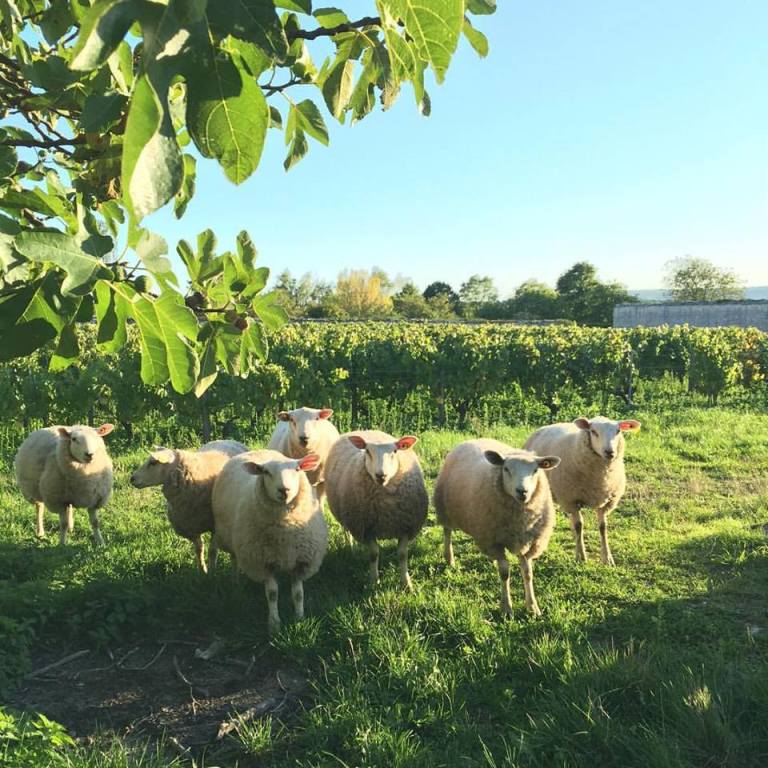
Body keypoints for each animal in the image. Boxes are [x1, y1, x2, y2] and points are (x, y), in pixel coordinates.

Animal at [129, 439, 248, 573]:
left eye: (153, 463)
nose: (132, 479)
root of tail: (226, 439)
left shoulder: (215, 526)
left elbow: (212, 551)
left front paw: (212, 571)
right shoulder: (190, 526)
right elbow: (199, 549)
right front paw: (202, 570)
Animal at [211, 450, 328, 635]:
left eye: (297, 469)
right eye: (266, 472)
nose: (284, 490)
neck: (286, 529)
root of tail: (256, 450)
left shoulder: (300, 561)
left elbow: (298, 593)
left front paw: (299, 618)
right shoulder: (263, 563)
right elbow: (272, 594)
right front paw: (274, 624)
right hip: (230, 538)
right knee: (234, 559)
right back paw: (235, 582)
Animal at [324, 430, 428, 590]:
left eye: (395, 451)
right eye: (367, 451)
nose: (381, 475)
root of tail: (362, 430)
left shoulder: (405, 526)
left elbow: (402, 555)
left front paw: (406, 584)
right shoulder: (367, 528)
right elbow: (373, 554)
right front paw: (374, 582)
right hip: (346, 516)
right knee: (346, 530)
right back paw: (351, 548)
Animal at [433, 439, 560, 617]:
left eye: (536, 470)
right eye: (506, 469)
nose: (522, 492)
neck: (519, 518)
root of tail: (472, 439)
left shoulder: (529, 541)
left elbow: (528, 573)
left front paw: (532, 607)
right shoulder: (495, 542)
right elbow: (504, 574)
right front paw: (506, 608)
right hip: (446, 509)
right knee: (447, 532)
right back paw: (449, 558)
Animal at [523, 416, 641, 566]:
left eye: (618, 431)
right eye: (593, 431)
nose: (610, 452)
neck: (600, 479)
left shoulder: (605, 502)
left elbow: (603, 527)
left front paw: (607, 558)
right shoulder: (571, 500)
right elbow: (579, 525)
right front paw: (581, 556)